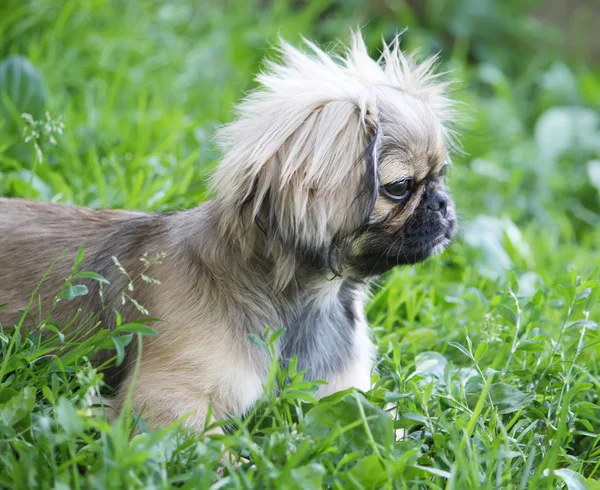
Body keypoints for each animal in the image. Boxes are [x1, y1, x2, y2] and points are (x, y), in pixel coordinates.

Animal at [0, 31, 458, 428]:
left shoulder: (346, 396)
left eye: (441, 175)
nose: (443, 202)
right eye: (399, 187)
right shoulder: (165, 404)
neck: (308, 302)